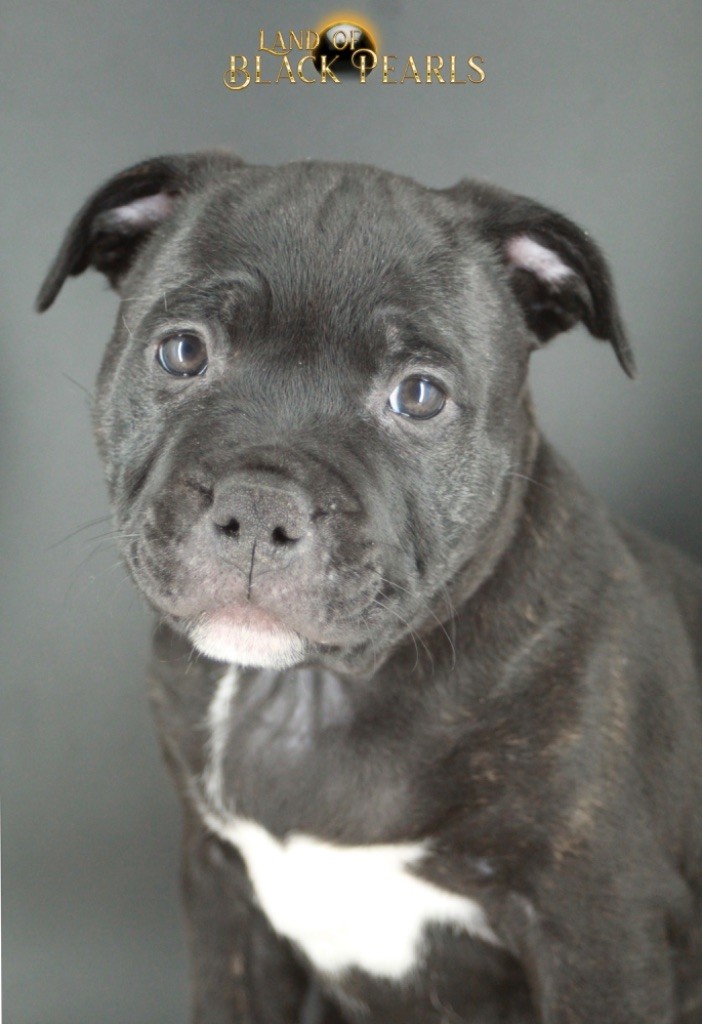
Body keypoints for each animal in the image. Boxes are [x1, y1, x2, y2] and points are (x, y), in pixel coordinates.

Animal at [37, 152, 702, 1023]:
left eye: (418, 396)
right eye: (182, 352)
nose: (261, 506)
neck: (311, 692)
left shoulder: (602, 929)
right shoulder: (222, 900)